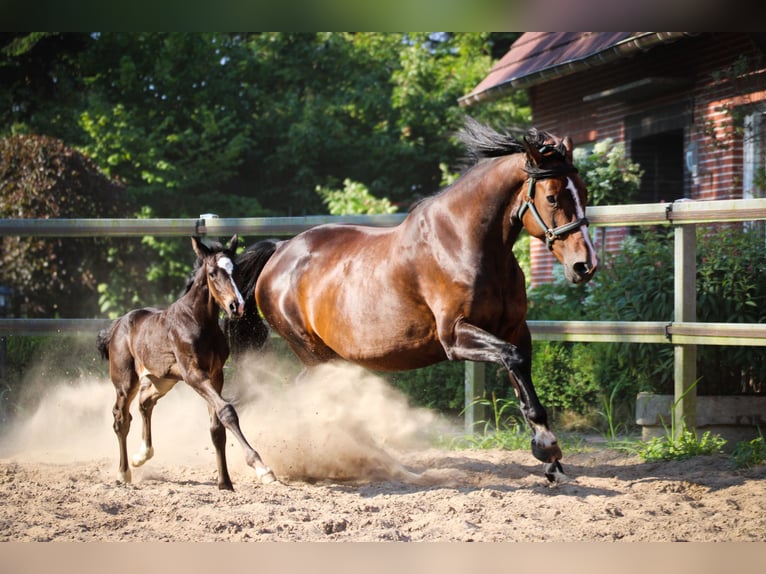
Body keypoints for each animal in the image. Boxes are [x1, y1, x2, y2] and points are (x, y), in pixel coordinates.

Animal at [97, 235, 276, 490]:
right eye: (212, 273)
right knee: (121, 418)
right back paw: (124, 473)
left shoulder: (215, 374)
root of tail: (118, 324)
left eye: (237, 271)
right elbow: (227, 411)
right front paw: (262, 468)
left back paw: (142, 455)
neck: (199, 321)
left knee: (145, 403)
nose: (237, 306)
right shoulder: (195, 375)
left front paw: (225, 483)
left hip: (163, 380)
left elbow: (216, 428)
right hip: (125, 381)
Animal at [230, 117, 599, 482]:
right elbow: (514, 361)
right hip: (313, 352)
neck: (466, 244)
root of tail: (280, 250)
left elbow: (520, 375)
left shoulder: (514, 330)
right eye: (552, 198)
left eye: (583, 192)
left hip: (330, 358)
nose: (585, 265)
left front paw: (551, 461)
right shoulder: (455, 336)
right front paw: (548, 447)